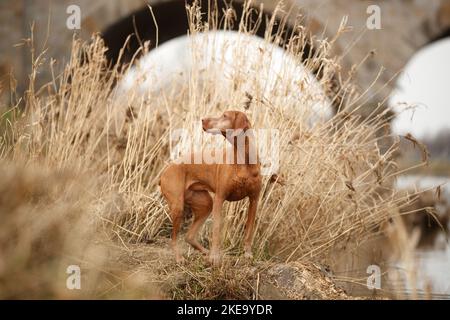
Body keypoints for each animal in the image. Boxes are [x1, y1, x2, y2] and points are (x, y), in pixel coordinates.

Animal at [159, 110, 262, 264]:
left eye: (225, 116)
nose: (202, 120)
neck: (242, 158)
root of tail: (165, 171)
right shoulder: (220, 199)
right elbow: (216, 229)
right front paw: (215, 256)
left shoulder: (254, 200)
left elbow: (249, 229)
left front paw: (248, 254)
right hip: (178, 206)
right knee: (174, 238)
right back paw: (180, 258)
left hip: (205, 203)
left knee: (189, 236)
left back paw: (205, 253)